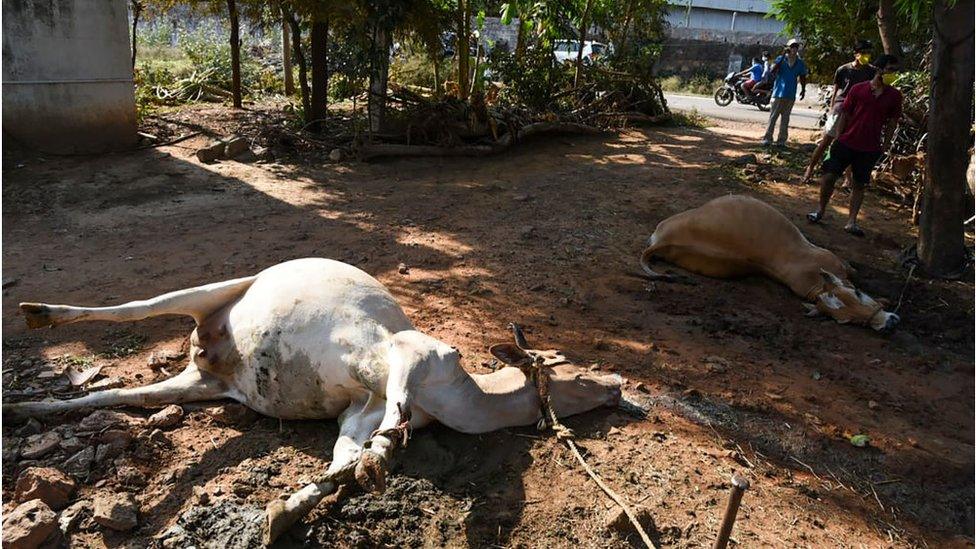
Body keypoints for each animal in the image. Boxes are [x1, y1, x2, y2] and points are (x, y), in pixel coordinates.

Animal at [9, 256, 616, 540]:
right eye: (576, 372)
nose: (620, 387)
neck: (459, 396)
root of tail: (206, 350)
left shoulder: (357, 411)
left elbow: (343, 459)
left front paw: (279, 516)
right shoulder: (411, 353)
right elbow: (390, 419)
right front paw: (380, 461)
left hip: (206, 386)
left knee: (126, 394)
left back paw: (20, 407)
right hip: (212, 291)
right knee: (135, 307)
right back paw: (38, 313)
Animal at [640, 194, 900, 330]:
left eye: (858, 295)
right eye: (847, 320)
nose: (888, 323)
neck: (815, 281)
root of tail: (661, 240)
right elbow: (853, 269)